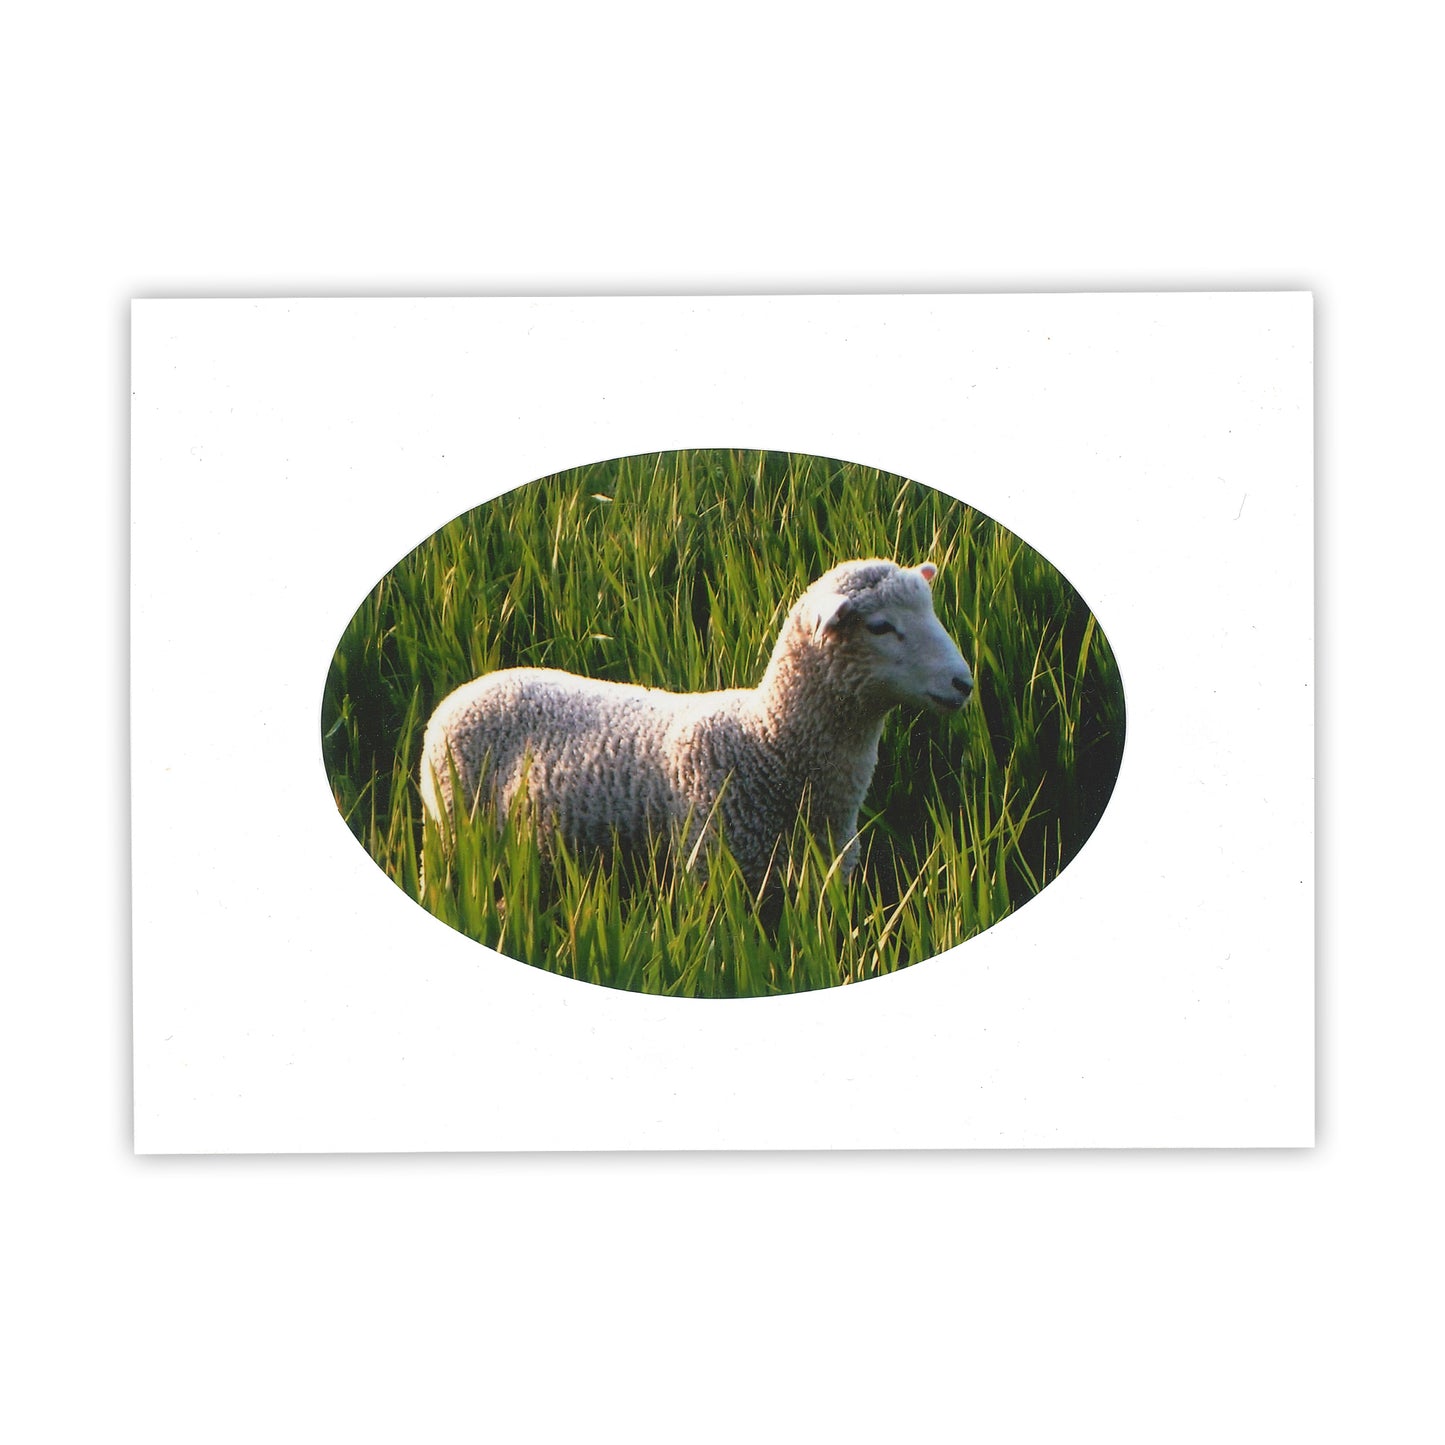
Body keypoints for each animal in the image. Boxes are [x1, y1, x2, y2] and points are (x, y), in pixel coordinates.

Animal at [419, 558, 974, 893]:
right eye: (881, 626)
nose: (963, 682)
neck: (768, 743)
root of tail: (467, 690)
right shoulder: (715, 872)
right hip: (449, 829)